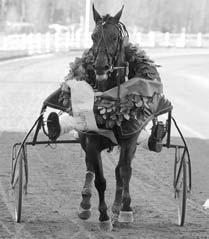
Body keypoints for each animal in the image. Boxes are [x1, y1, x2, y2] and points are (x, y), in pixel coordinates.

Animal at [76, 4, 139, 231]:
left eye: (114, 37)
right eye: (93, 36)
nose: (100, 66)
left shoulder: (130, 140)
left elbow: (124, 172)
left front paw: (125, 210)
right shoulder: (93, 141)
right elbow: (100, 180)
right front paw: (103, 217)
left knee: (121, 171)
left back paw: (118, 207)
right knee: (89, 167)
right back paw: (85, 204)